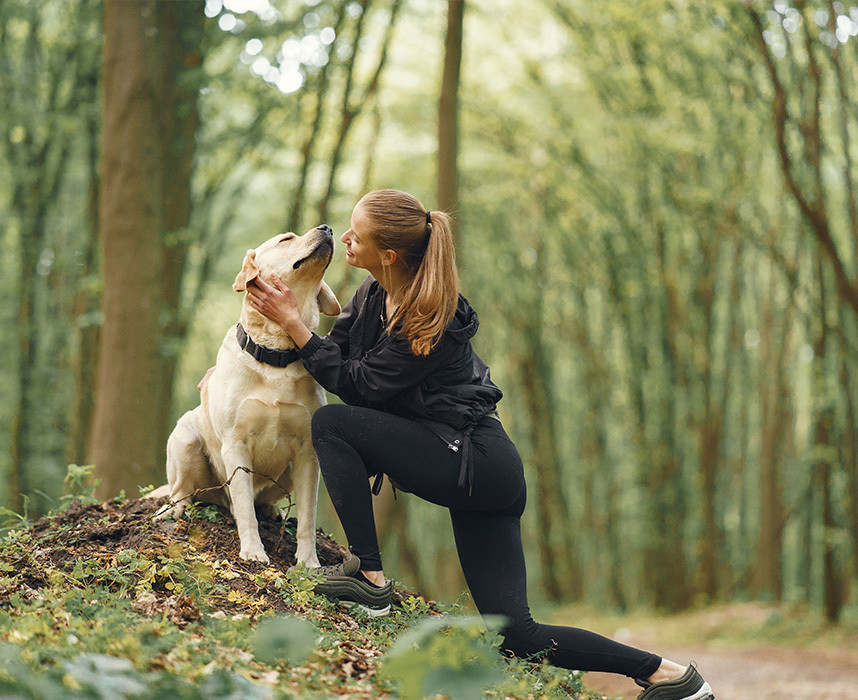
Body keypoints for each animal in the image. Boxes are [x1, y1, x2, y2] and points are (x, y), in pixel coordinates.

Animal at [152, 227, 340, 568]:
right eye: (287, 238)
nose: (327, 228)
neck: (277, 354)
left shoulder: (308, 452)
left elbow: (307, 516)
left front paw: (308, 562)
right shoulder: (236, 444)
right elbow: (244, 511)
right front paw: (253, 551)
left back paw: (271, 509)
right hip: (185, 437)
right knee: (184, 490)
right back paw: (173, 508)